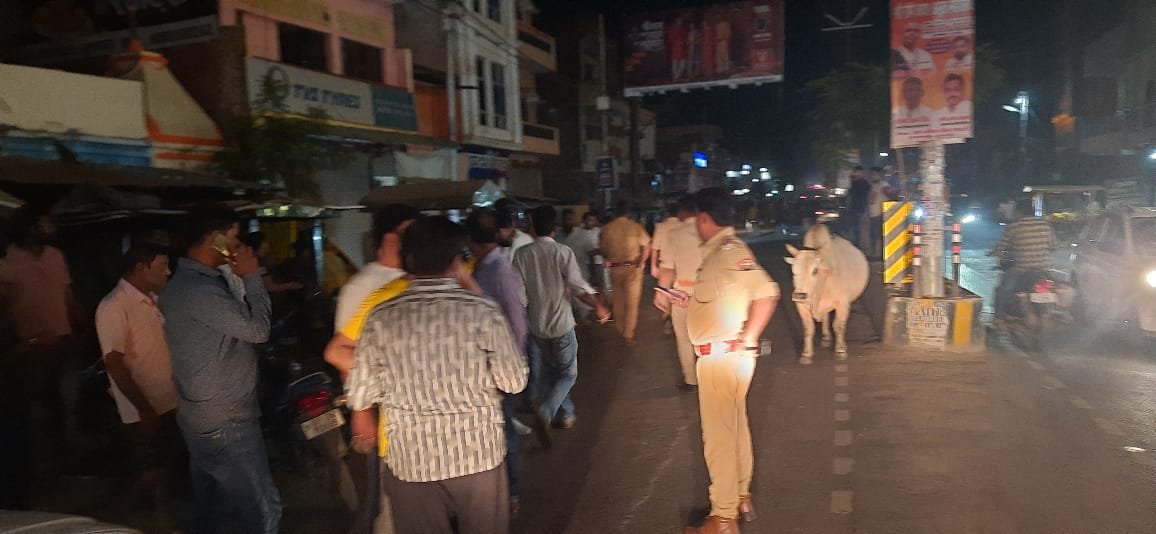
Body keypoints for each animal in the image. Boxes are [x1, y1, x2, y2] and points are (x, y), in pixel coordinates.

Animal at [785, 224, 869, 364]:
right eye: (794, 270)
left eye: (815, 270)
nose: (800, 295)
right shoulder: (801, 306)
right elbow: (808, 329)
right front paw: (806, 354)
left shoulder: (843, 304)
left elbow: (839, 326)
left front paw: (840, 350)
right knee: (825, 317)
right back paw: (825, 337)